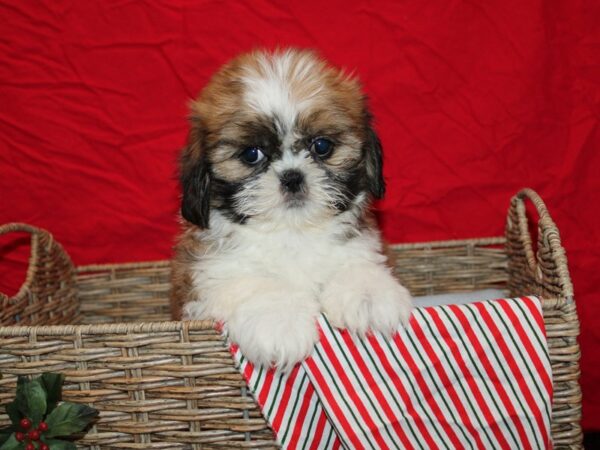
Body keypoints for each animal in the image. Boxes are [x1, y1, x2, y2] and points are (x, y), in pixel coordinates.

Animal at [169, 48, 412, 370]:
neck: (293, 234)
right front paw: (278, 323)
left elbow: (357, 263)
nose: (292, 177)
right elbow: (256, 285)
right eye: (251, 154)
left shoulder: (363, 245)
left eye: (322, 146)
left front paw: (370, 296)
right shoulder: (208, 276)